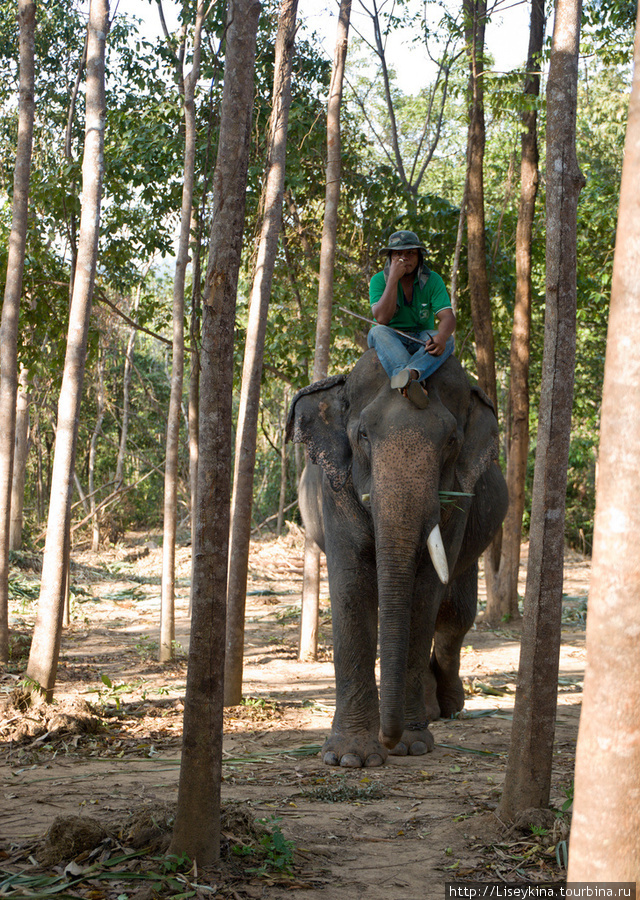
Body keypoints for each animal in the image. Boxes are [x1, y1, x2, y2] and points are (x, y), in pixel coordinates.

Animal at [288, 350, 508, 768]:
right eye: (362, 435)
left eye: (452, 440)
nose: (387, 741)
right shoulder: (334, 491)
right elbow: (352, 588)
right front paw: (350, 757)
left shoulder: (456, 501)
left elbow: (423, 596)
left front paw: (411, 745)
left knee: (455, 614)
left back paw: (446, 707)